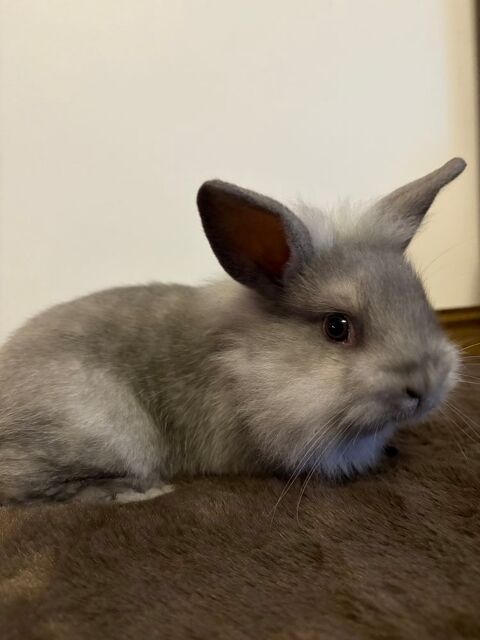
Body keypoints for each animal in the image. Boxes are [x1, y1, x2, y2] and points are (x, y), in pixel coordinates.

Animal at [0, 158, 465, 504]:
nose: (425, 385)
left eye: (421, 300)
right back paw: (141, 492)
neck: (246, 364)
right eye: (337, 327)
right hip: (103, 428)